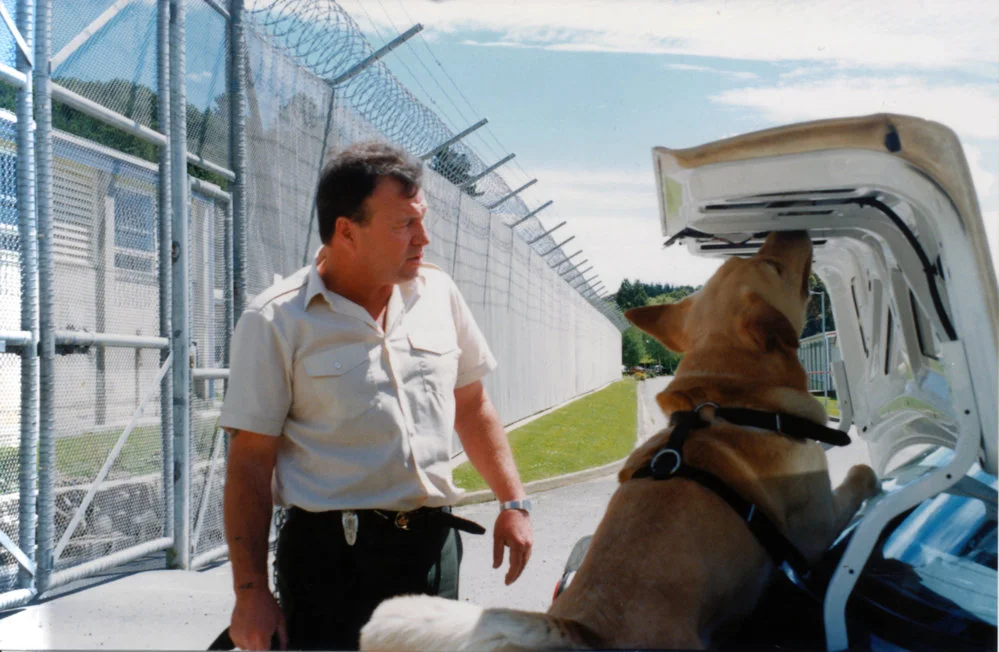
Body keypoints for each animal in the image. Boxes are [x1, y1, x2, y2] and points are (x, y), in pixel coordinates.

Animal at [364, 229, 880, 648]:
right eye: (772, 266)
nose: (792, 228)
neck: (730, 397)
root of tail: (582, 629)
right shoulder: (814, 531)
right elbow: (861, 471)